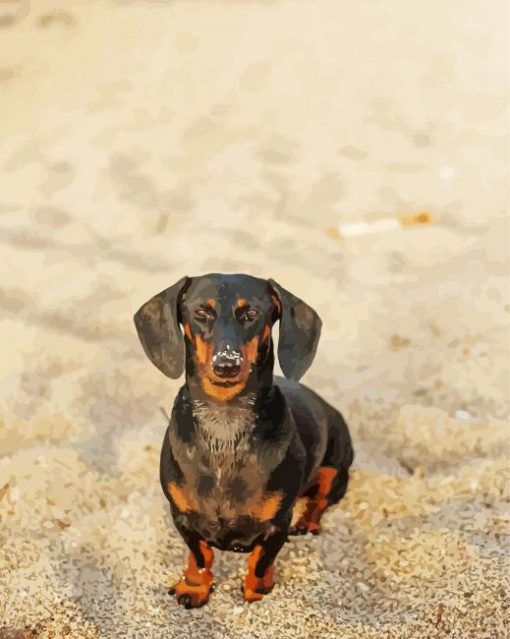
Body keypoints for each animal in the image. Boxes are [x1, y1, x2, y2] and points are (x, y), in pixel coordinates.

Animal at [133, 272, 352, 608]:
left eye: (252, 314)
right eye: (201, 312)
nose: (227, 364)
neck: (225, 424)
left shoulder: (278, 524)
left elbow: (260, 561)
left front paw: (256, 591)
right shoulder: (182, 517)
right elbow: (201, 556)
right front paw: (194, 586)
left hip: (336, 469)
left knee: (321, 500)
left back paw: (309, 522)